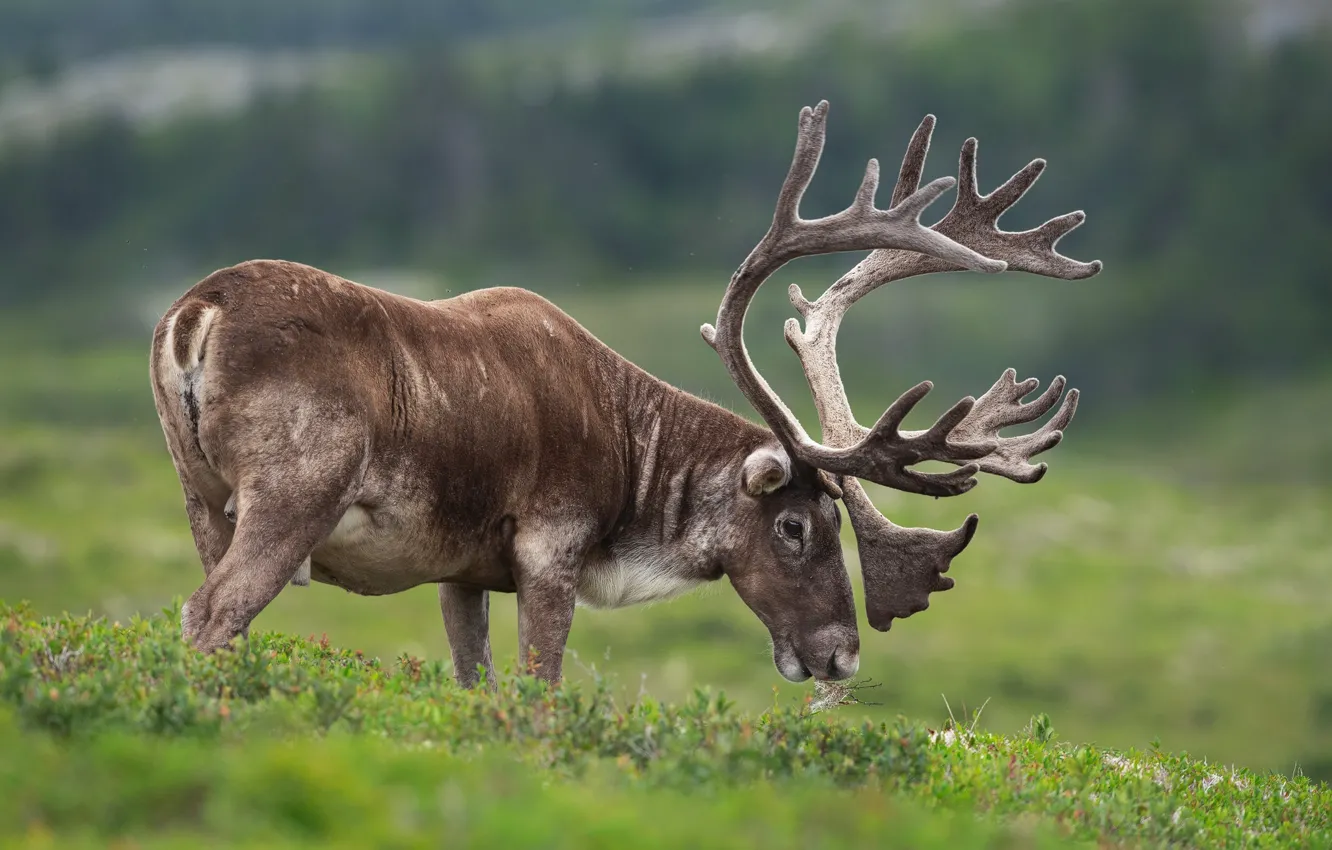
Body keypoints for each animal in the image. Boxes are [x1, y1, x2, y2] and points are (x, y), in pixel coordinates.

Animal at [149, 99, 1099, 690]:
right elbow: (541, 688)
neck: (634, 455)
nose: (841, 660)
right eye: (795, 526)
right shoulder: (551, 547)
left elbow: (473, 683)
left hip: (199, 494)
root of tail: (195, 313)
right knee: (211, 611)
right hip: (294, 489)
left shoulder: (462, 572)